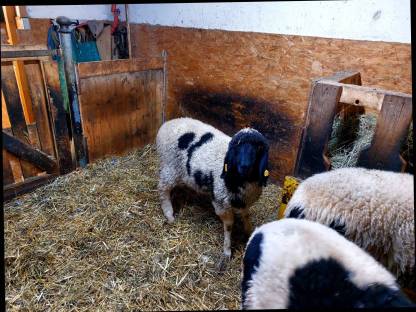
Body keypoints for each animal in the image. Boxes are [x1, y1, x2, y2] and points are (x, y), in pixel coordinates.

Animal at [156, 117, 270, 266]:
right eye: (236, 147)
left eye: (258, 148)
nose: (244, 167)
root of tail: (167, 124)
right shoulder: (221, 203)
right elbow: (229, 226)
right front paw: (227, 250)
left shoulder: (244, 202)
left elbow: (246, 216)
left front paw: (249, 232)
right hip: (170, 167)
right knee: (163, 189)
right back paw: (169, 214)